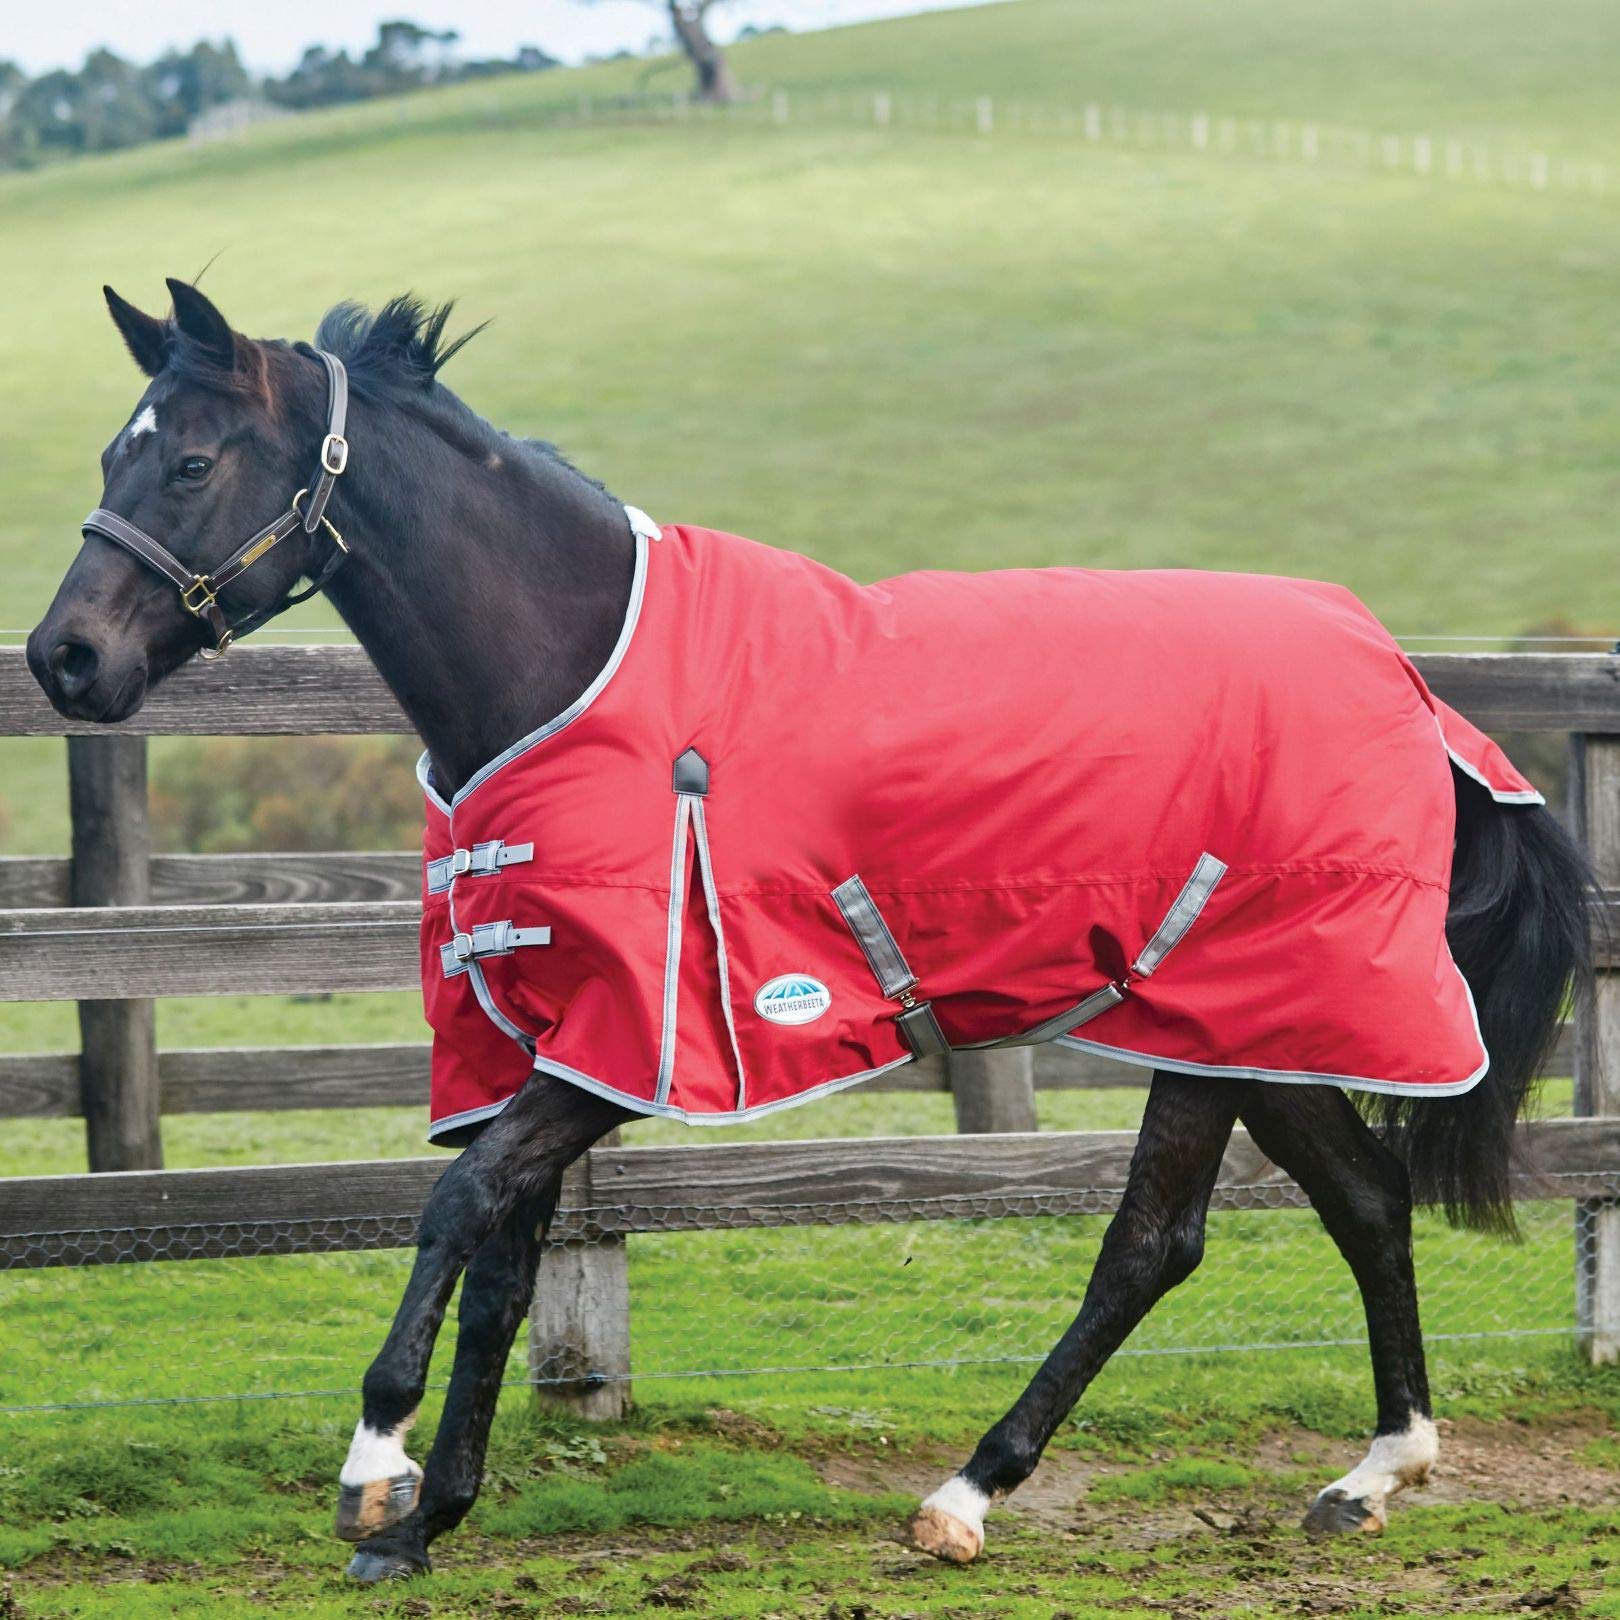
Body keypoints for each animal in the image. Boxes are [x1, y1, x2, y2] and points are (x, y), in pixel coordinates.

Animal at [28, 280, 1590, 1582]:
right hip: (1250, 1028)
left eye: (188, 462)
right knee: (1364, 1199)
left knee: (1155, 1244)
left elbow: (459, 1209)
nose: (65, 659)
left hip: (1222, 1021)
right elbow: (507, 1262)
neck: (577, 674)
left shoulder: (622, 1049)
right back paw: (1372, 1474)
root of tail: (1412, 691)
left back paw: (968, 1495)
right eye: (108, 456)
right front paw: (432, 1519)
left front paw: (377, 1472)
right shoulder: (540, 1039)